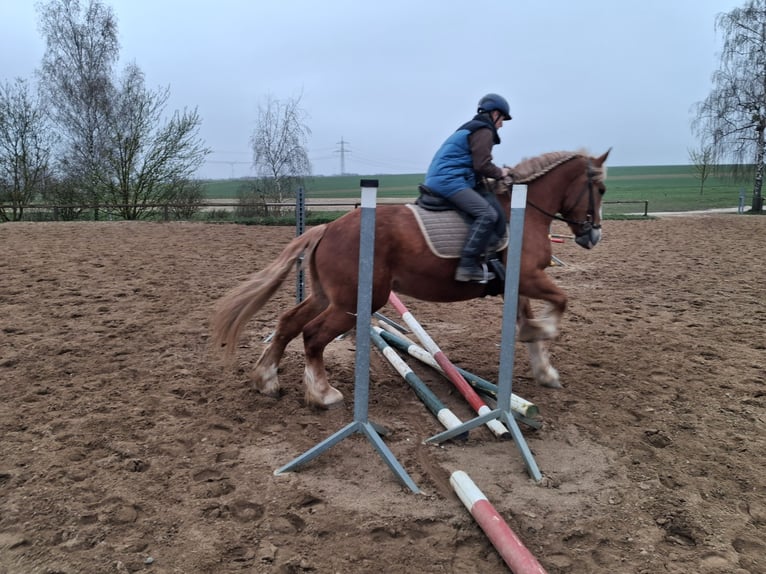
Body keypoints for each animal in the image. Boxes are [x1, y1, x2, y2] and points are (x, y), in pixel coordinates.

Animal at [211, 149, 610, 408]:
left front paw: (544, 369)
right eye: (602, 189)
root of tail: (327, 228)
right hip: (358, 300)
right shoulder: (529, 276)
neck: (524, 210)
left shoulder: (519, 283)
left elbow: (528, 319)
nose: (593, 236)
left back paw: (266, 380)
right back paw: (323, 394)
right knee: (313, 334)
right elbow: (559, 302)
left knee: (289, 323)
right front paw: (543, 333)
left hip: (329, 295)